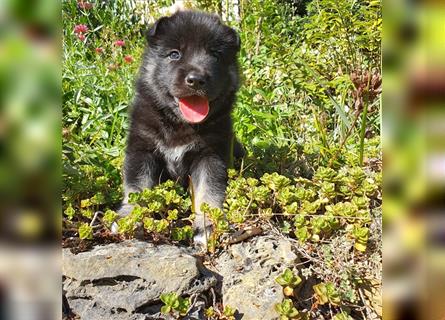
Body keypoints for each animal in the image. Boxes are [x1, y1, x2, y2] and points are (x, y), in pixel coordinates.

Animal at [119, 9, 239, 245]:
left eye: (215, 56)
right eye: (174, 54)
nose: (196, 79)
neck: (178, 124)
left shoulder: (211, 156)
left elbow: (208, 192)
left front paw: (207, 227)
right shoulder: (142, 150)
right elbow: (136, 188)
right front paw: (129, 218)